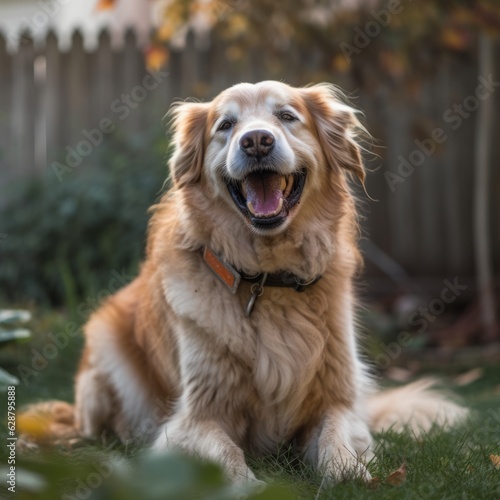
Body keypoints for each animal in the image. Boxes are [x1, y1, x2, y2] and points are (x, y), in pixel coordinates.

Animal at [21, 81, 466, 484]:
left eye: (286, 116)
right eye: (226, 125)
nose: (255, 141)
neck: (268, 279)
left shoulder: (336, 400)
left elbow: (337, 438)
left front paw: (349, 472)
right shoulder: (196, 417)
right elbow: (224, 455)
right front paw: (247, 483)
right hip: (104, 349)